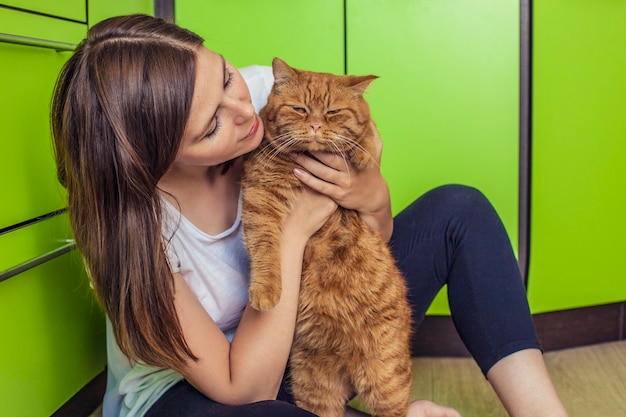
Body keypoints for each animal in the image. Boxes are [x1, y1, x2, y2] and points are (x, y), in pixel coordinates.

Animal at [239, 57, 410, 416]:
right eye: (300, 109)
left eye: (332, 112)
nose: (317, 126)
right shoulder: (260, 201)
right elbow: (265, 250)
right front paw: (266, 291)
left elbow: (368, 129)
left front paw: (363, 153)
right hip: (313, 384)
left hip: (386, 382)